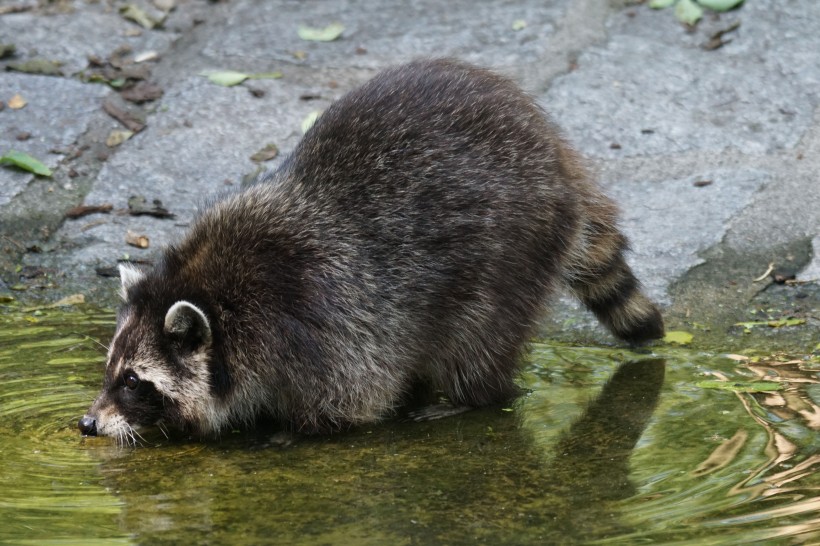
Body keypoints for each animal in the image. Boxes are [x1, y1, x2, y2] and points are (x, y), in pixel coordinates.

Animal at [80, 58, 664, 442]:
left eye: (134, 382)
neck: (214, 291)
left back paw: (466, 398)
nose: (88, 422)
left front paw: (291, 429)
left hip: (513, 246)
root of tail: (558, 156)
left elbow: (354, 397)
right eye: (112, 369)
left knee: (477, 340)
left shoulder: (318, 319)